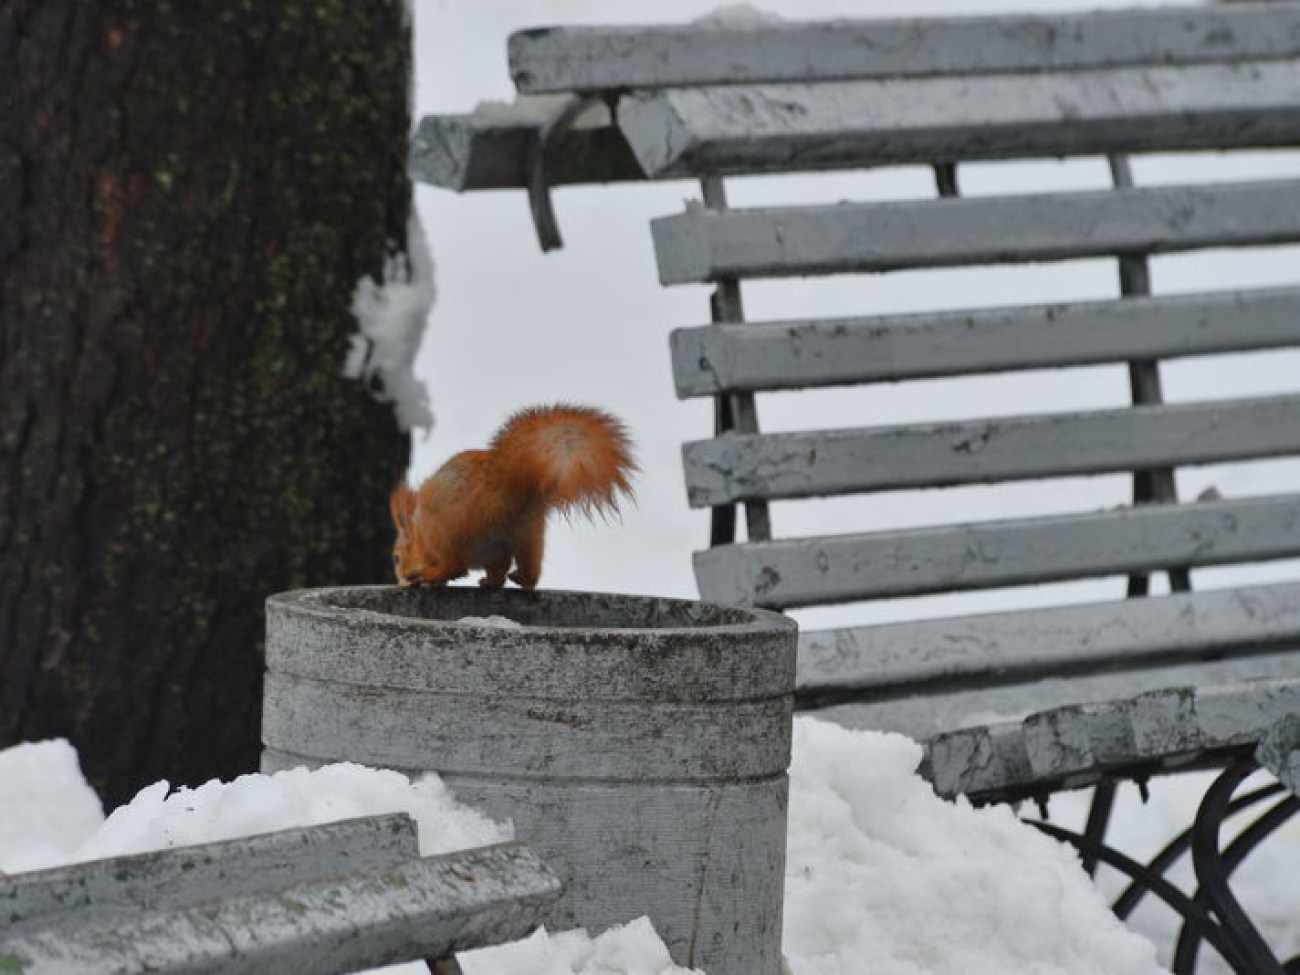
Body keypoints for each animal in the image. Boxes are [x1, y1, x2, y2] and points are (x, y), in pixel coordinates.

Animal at [392, 405, 637, 587]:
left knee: (456, 566)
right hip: (527, 531)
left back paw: (430, 574)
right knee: (525, 568)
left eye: (396, 558)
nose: (401, 581)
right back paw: (512, 579)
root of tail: (500, 488)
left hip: (441, 530)